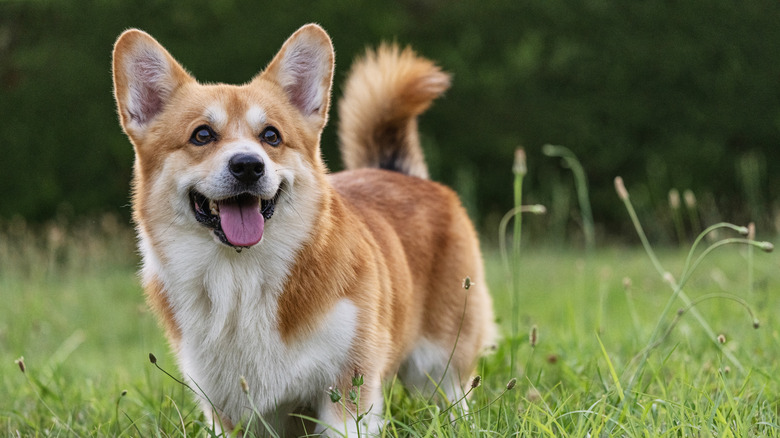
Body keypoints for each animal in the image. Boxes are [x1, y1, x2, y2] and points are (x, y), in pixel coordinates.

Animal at [111, 24, 494, 438]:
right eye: (202, 135)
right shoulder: (226, 410)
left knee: (455, 398)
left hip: (439, 364)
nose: (248, 166)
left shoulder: (347, 386)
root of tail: (397, 171)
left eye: (271, 136)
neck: (240, 276)